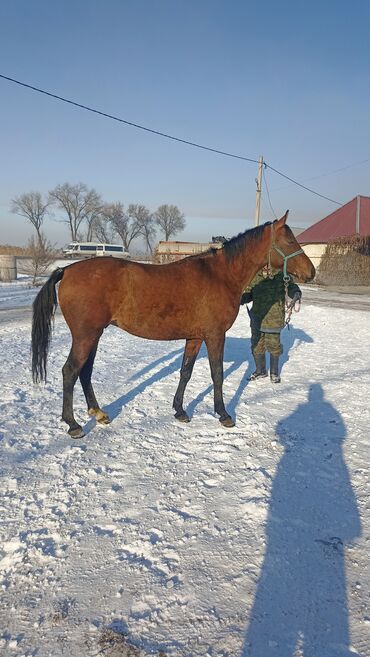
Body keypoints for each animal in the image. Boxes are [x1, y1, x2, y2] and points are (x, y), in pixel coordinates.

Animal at [31, 213, 316, 436]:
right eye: (290, 240)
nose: (311, 272)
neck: (221, 275)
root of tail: (68, 270)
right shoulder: (215, 336)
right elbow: (217, 374)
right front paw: (223, 414)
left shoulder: (195, 337)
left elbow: (185, 372)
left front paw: (179, 410)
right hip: (86, 335)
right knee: (70, 371)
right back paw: (73, 425)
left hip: (94, 335)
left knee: (85, 371)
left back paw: (98, 413)